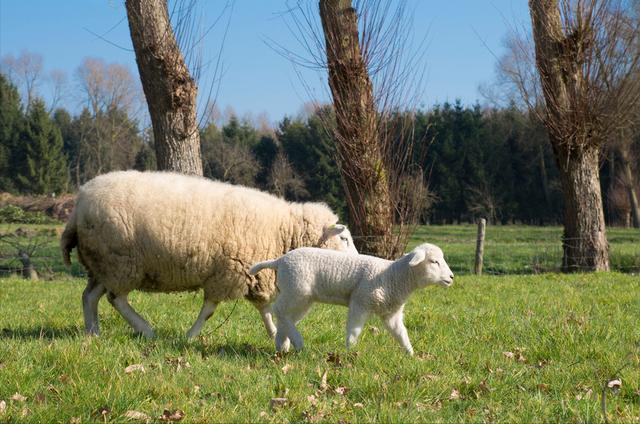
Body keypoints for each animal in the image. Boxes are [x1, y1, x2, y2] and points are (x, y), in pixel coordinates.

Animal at [60, 169, 358, 338]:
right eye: (344, 238)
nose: (359, 260)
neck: (283, 230)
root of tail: (79, 203)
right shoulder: (228, 271)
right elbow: (209, 311)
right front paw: (191, 336)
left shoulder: (252, 274)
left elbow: (264, 309)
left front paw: (274, 334)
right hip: (121, 261)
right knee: (116, 298)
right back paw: (145, 329)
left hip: (103, 264)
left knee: (90, 296)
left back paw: (93, 333)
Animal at [250, 242, 456, 354]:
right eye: (434, 262)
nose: (452, 277)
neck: (393, 276)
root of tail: (280, 260)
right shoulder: (360, 302)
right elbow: (354, 331)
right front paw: (350, 352)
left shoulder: (391, 313)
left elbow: (401, 333)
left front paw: (410, 354)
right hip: (297, 290)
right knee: (278, 310)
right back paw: (297, 343)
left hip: (300, 296)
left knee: (286, 316)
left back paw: (282, 345)